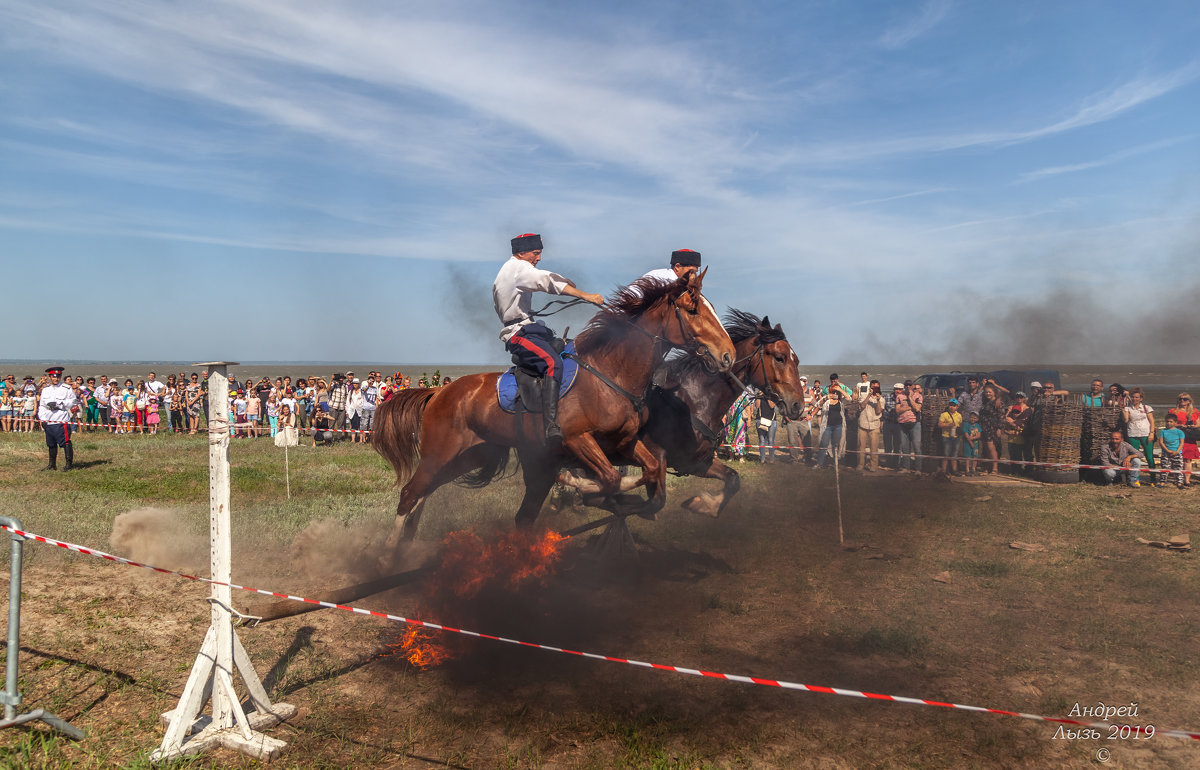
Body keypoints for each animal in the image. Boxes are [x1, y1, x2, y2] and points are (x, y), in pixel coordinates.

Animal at [369, 266, 734, 554]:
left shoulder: (625, 442)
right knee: (409, 494)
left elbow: (651, 474)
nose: (727, 355)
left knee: (425, 495)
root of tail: (440, 391)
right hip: (438, 455)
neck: (610, 374)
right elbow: (612, 479)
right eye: (692, 310)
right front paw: (582, 486)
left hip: (468, 456)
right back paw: (387, 556)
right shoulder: (577, 440)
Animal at [559, 305, 806, 515]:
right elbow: (653, 503)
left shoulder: (695, 462)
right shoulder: (657, 455)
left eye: (796, 360)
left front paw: (703, 504)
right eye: (780, 358)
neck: (696, 399)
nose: (797, 405)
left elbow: (733, 479)